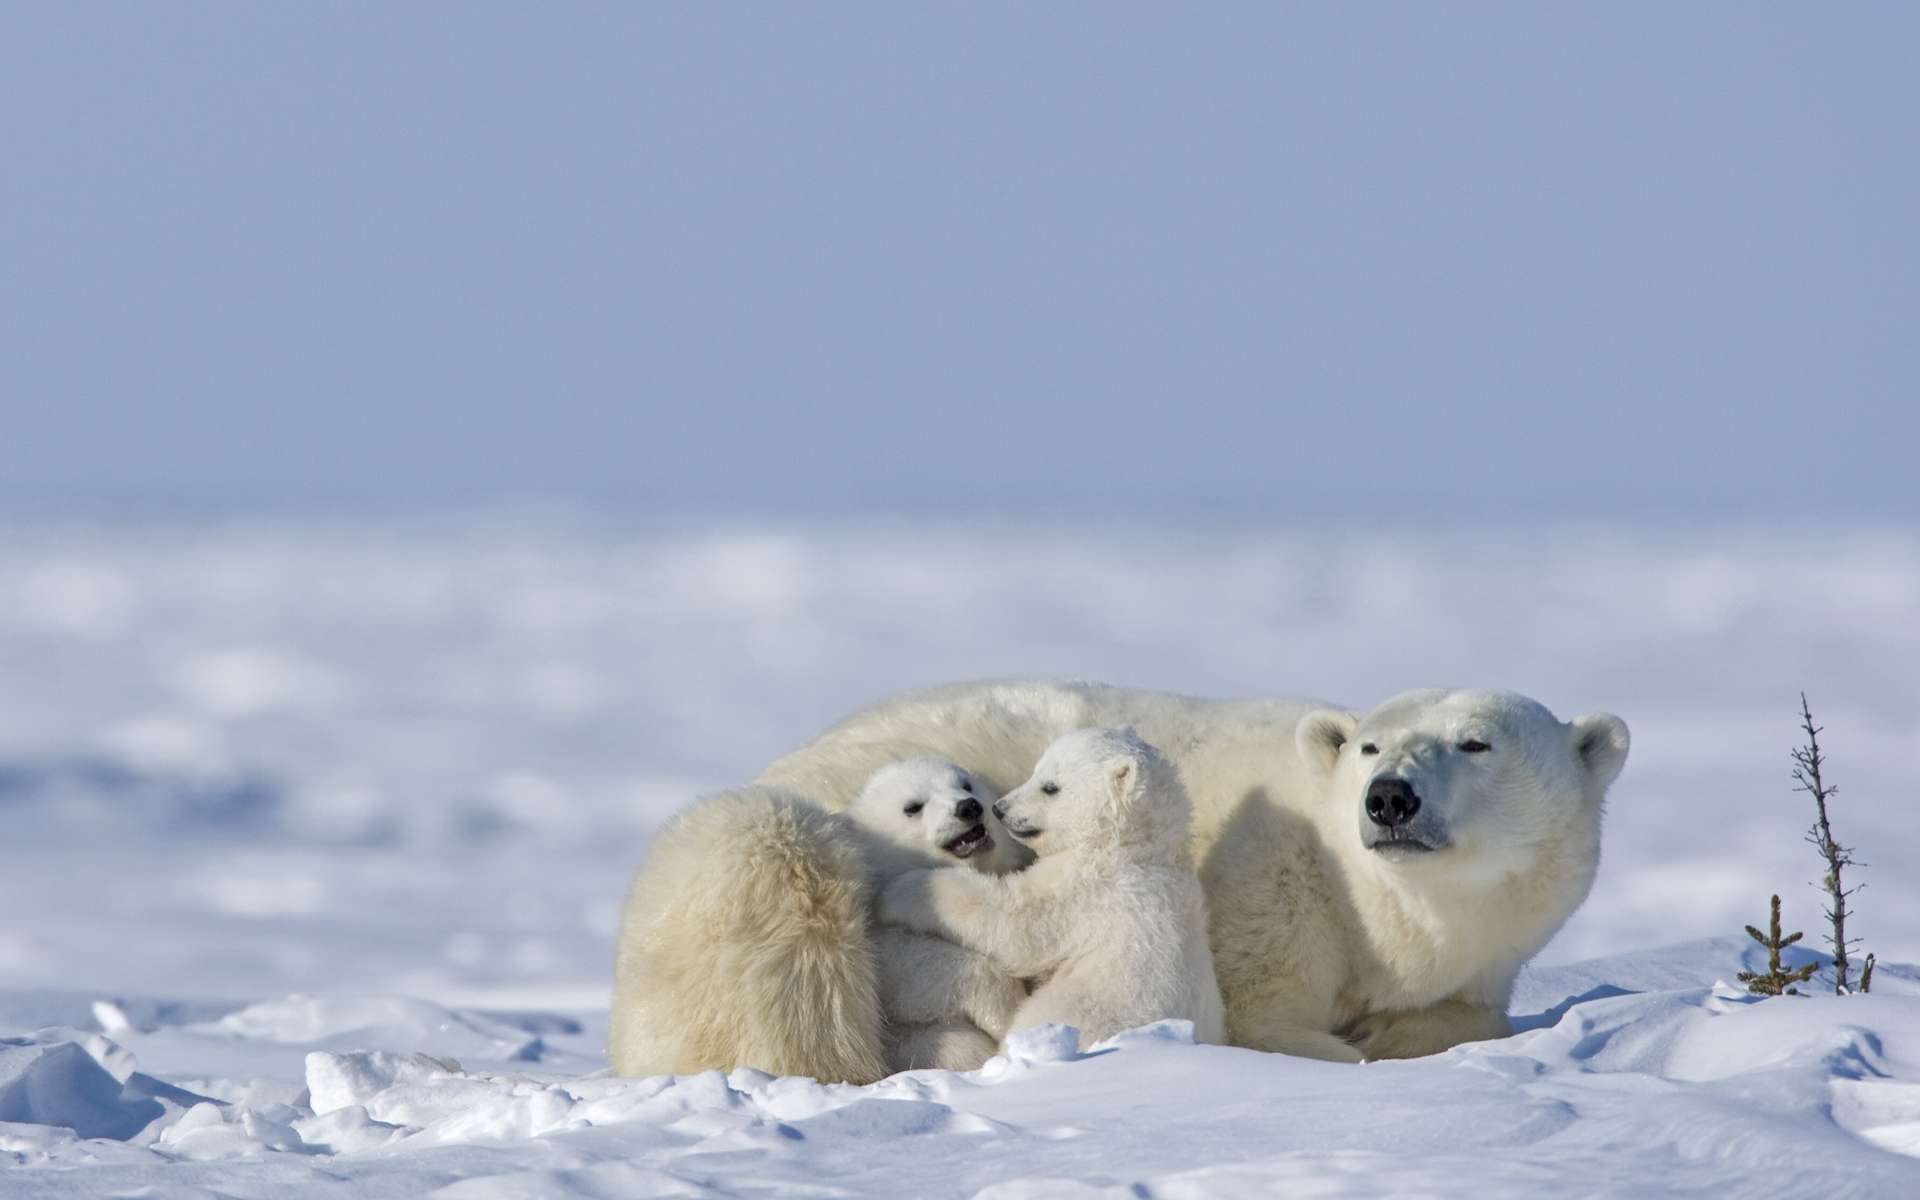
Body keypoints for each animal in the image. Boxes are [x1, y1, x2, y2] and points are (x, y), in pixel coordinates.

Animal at [614, 756, 1036, 1075]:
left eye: (966, 784)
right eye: (912, 807)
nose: (968, 808)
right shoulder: (874, 933)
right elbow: (919, 970)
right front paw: (1006, 1011)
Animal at [879, 725, 1221, 1044]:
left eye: (1050, 787)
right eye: (1036, 771)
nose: (999, 808)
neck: (1133, 846)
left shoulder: (1089, 891)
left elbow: (1015, 923)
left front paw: (901, 891)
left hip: (1085, 1007)